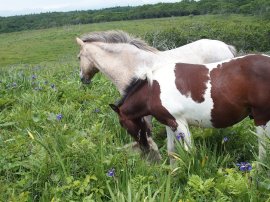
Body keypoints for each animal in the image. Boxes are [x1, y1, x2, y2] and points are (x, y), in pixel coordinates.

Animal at [109, 54, 270, 163]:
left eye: (122, 124)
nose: (144, 147)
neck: (152, 90)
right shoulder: (170, 123)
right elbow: (171, 150)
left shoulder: (180, 122)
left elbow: (190, 151)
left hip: (261, 117)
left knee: (263, 148)